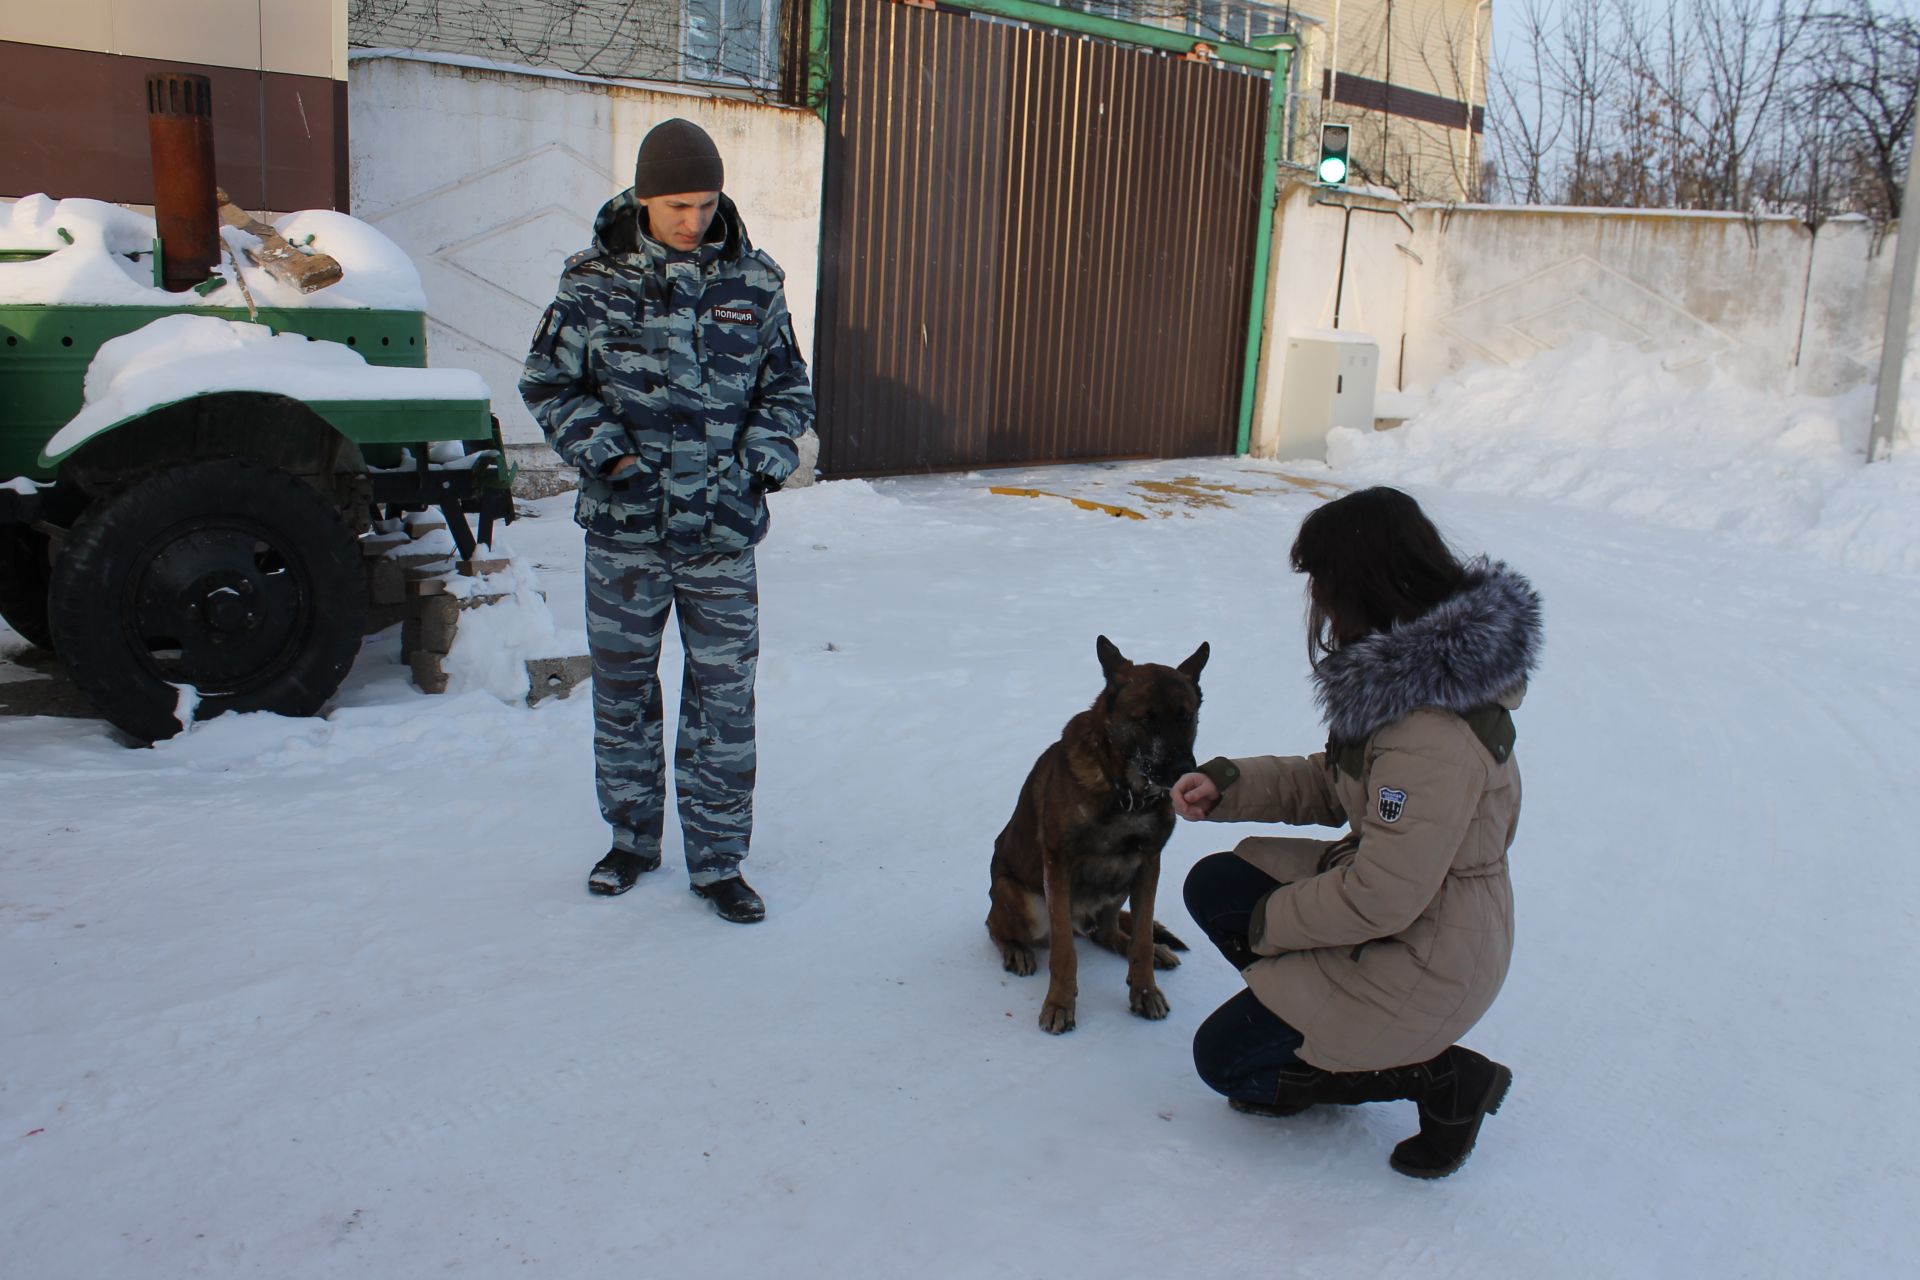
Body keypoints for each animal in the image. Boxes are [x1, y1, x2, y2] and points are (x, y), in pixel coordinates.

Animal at [983, 637, 1205, 1036]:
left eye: (1186, 717)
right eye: (1147, 718)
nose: (1184, 771)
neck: (1127, 795)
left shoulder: (1148, 864)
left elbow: (1143, 937)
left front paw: (1145, 989)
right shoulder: (1057, 866)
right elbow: (1064, 952)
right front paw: (1059, 1003)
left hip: (1120, 884)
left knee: (1108, 932)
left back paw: (1148, 950)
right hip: (1023, 900)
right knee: (998, 926)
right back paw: (1016, 949)